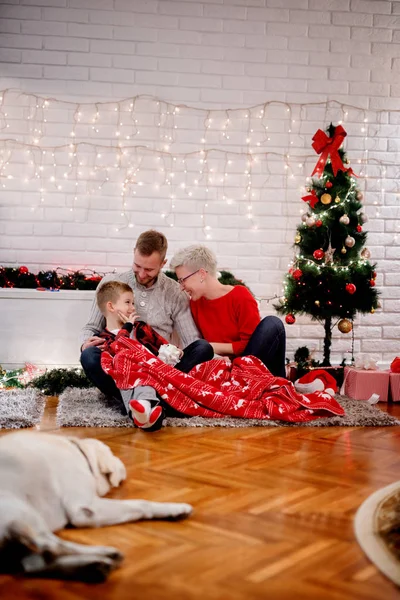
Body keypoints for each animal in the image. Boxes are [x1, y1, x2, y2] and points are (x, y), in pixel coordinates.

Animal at [0, 432, 192, 580]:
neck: (79, 450)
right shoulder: (84, 508)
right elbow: (140, 503)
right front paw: (175, 509)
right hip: (21, 511)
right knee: (50, 547)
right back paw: (105, 554)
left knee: (33, 562)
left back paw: (93, 565)